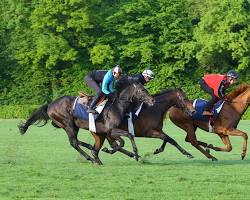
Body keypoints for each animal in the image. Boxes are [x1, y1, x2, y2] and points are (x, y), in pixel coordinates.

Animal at [18, 80, 154, 165]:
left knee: (77, 141)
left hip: (75, 127)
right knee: (73, 142)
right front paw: (135, 153)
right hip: (68, 124)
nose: (152, 100)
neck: (118, 105)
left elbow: (119, 143)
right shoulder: (111, 130)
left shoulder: (106, 132)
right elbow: (127, 137)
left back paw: (93, 152)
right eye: (142, 90)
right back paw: (91, 158)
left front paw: (134, 155)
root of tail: (50, 104)